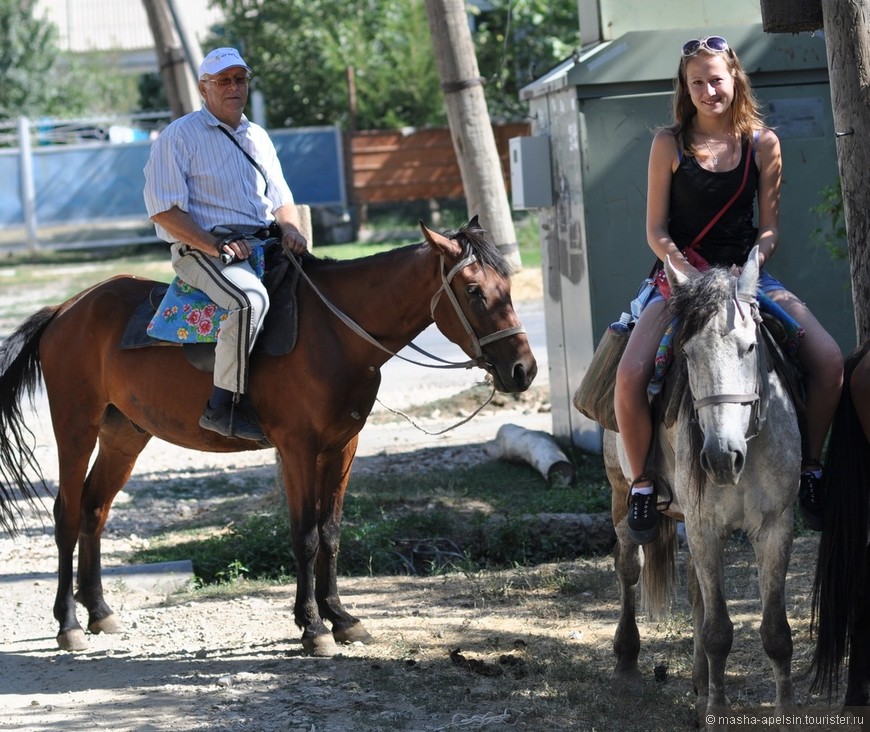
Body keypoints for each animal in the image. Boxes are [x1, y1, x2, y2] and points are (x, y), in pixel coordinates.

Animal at [0, 220, 540, 656]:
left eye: (507, 286)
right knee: (69, 515)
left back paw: (99, 612)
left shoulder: (342, 448)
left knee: (94, 510)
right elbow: (304, 536)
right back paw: (69, 624)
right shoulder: (298, 447)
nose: (523, 370)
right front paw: (314, 628)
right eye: (474, 291)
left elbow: (331, 533)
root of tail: (66, 309)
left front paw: (340, 617)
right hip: (76, 426)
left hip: (124, 436)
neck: (336, 333)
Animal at [608, 249, 804, 728]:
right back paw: (627, 666)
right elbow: (717, 631)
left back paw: (698, 686)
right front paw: (716, 711)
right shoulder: (705, 527)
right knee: (629, 567)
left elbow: (775, 631)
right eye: (688, 353)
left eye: (750, 346)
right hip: (621, 491)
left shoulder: (775, 527)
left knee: (697, 592)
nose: (719, 457)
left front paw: (784, 710)